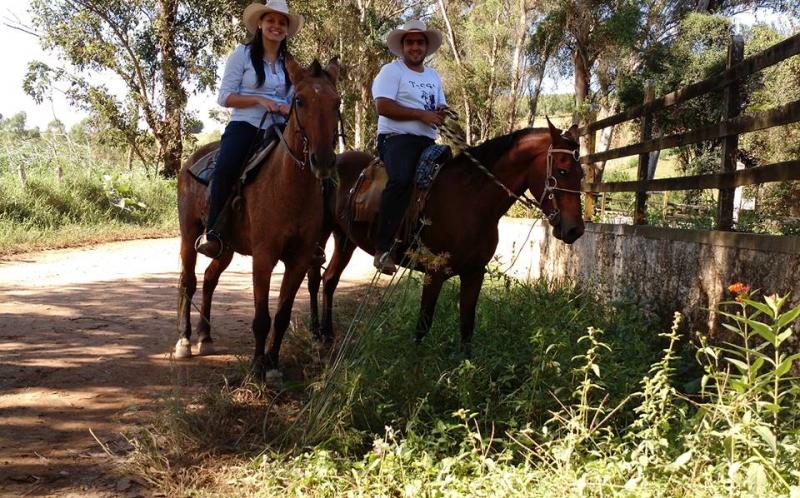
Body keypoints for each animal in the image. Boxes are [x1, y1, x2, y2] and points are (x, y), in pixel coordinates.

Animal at [177, 57, 340, 378]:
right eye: (300, 100)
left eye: (336, 102)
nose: (323, 161)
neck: (288, 186)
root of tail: (191, 160)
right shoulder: (264, 256)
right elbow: (261, 317)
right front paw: (256, 368)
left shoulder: (300, 258)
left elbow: (282, 314)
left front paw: (273, 365)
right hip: (189, 235)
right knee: (189, 282)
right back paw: (185, 341)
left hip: (225, 247)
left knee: (210, 279)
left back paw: (205, 336)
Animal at [310, 120, 584, 354]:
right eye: (562, 170)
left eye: (581, 173)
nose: (575, 230)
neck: (471, 200)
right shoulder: (435, 273)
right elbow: (423, 325)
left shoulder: (474, 273)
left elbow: (467, 327)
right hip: (319, 236)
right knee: (314, 278)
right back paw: (315, 332)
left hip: (345, 239)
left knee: (330, 279)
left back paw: (328, 334)